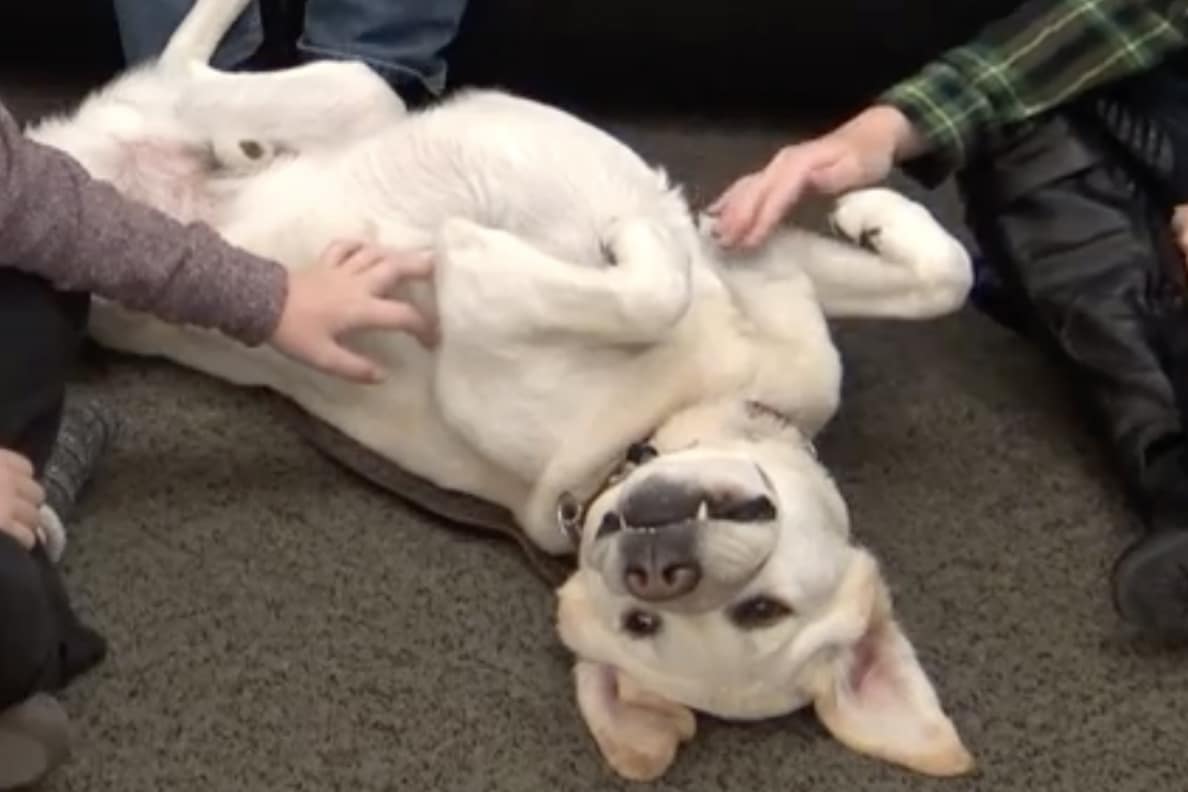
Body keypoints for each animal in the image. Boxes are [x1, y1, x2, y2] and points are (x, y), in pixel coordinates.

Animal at [23, 0, 978, 778]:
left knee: (200, 78)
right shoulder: (760, 272)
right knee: (205, 72)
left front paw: (477, 244)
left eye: (755, 612)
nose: (655, 564)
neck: (667, 420)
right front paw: (870, 212)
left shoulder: (486, 334)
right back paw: (243, 136)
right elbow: (942, 274)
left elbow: (636, 285)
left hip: (330, 102)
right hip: (352, 100)